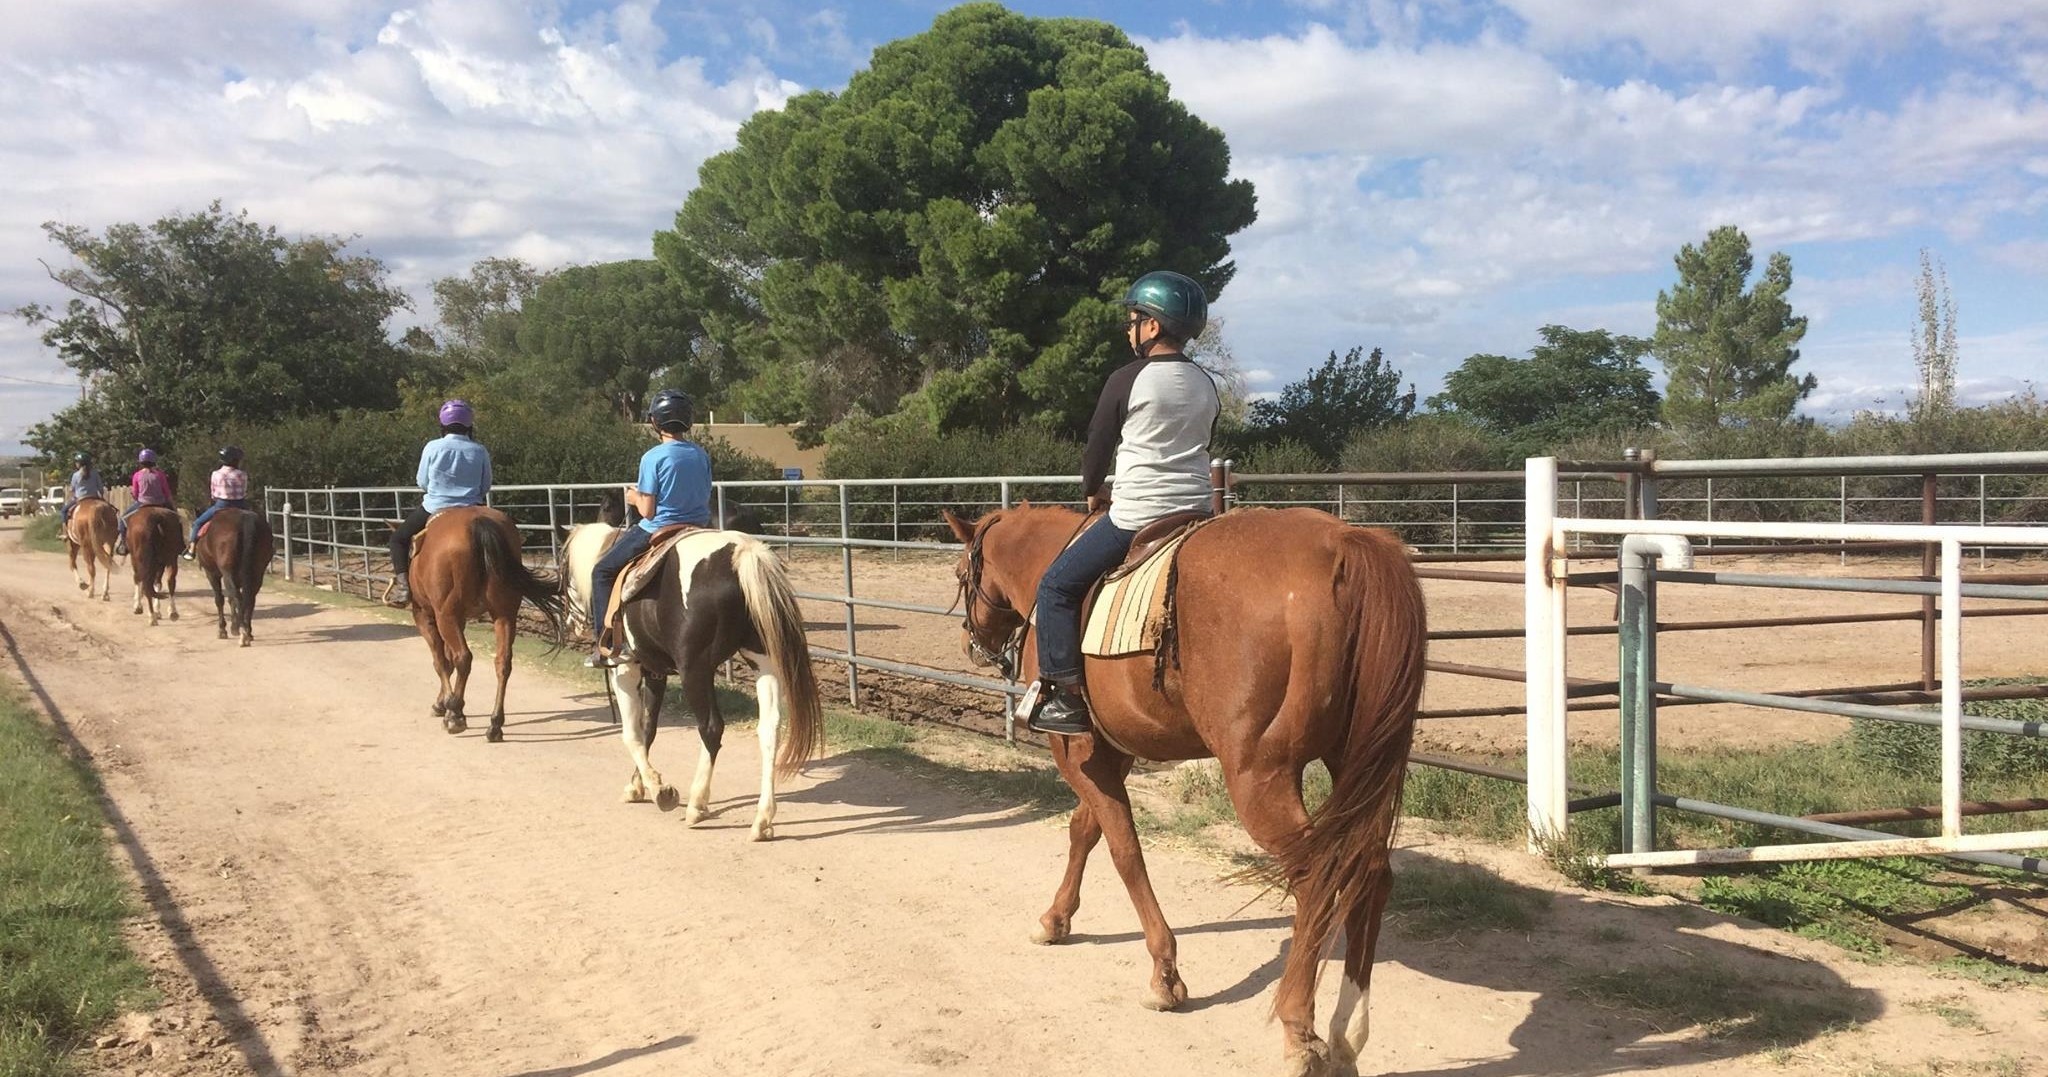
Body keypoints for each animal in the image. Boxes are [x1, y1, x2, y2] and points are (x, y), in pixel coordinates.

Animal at [192, 507, 275, 647]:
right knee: (249, 599)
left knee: (238, 598)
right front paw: (234, 627)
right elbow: (231, 599)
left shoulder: (212, 574)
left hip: (227, 573)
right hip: (258, 574)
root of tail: (245, 520)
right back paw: (248, 631)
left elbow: (220, 599)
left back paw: (243, 634)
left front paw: (223, 630)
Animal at [405, 505, 567, 742]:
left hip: (446, 615)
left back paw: (456, 717)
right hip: (504, 614)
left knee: (464, 657)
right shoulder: (460, 619)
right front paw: (445, 704)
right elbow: (448, 660)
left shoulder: (425, 616)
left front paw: (444, 706)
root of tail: (478, 523)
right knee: (502, 662)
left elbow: (441, 661)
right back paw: (494, 724)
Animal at [561, 521, 823, 841]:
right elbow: (648, 729)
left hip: (695, 669)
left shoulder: (625, 669)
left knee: (711, 727)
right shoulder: (655, 672)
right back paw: (762, 820)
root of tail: (742, 552)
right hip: (763, 661)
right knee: (769, 729)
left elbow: (631, 734)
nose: (570, 622)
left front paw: (659, 790)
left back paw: (697, 804)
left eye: (563, 572)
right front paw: (638, 785)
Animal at [945, 505, 1426, 1077]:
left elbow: (1124, 849)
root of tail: (1343, 543)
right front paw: (1056, 919)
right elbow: (1085, 830)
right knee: (1369, 873)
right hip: (1356, 766)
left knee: (1316, 876)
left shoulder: (1077, 751)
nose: (971, 645)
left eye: (960, 574)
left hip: (1259, 777)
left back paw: (1299, 1033)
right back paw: (1346, 1035)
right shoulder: (1112, 753)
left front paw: (1164, 975)